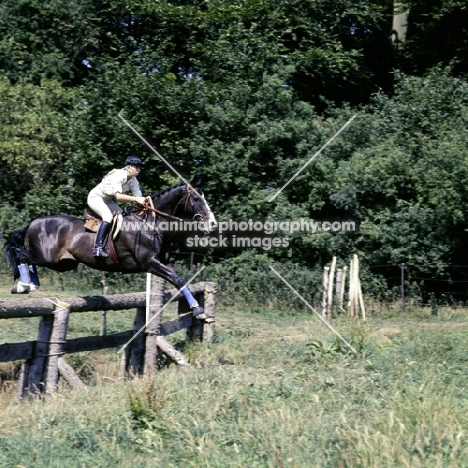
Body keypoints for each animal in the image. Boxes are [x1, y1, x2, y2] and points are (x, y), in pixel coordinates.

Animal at [5, 177, 218, 320]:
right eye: (197, 199)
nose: (213, 224)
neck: (152, 224)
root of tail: (33, 223)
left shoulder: (163, 262)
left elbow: (181, 280)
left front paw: (197, 308)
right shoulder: (150, 263)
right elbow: (177, 279)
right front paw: (198, 309)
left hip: (64, 263)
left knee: (27, 258)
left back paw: (29, 285)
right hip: (47, 257)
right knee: (21, 255)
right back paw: (24, 286)